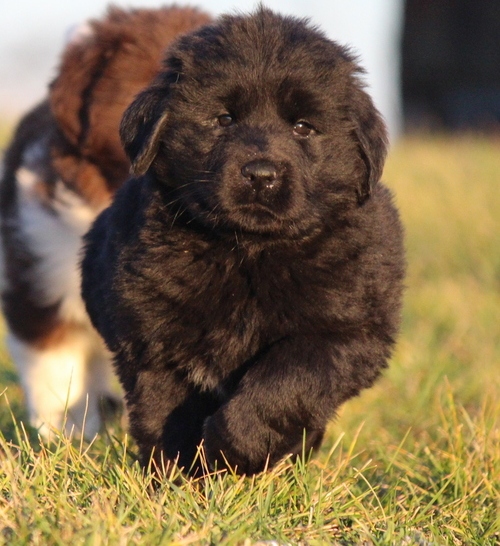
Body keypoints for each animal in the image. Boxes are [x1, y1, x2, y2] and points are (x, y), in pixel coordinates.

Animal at [80, 7, 404, 472]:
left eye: (303, 127)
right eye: (224, 120)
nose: (261, 175)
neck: (249, 251)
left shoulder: (345, 330)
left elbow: (285, 382)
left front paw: (233, 447)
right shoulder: (151, 337)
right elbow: (164, 408)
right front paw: (177, 475)